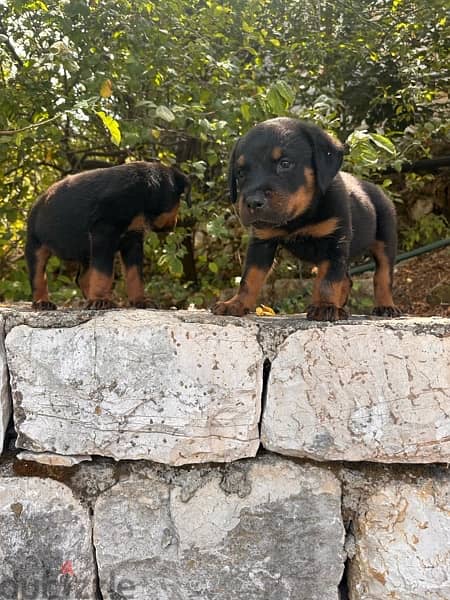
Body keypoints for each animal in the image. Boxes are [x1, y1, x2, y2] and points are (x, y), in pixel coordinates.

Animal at [25, 161, 190, 310]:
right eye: (180, 198)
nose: (176, 223)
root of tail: (38, 200)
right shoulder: (104, 233)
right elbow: (103, 272)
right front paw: (100, 301)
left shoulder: (133, 238)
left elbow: (134, 273)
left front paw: (141, 301)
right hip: (36, 241)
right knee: (38, 275)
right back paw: (42, 303)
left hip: (86, 251)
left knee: (82, 277)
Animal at [214, 118, 400, 324]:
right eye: (240, 172)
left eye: (285, 163)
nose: (253, 202)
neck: (298, 218)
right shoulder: (261, 242)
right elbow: (250, 277)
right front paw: (236, 303)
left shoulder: (333, 242)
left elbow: (327, 281)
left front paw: (324, 306)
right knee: (347, 279)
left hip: (386, 238)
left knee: (382, 275)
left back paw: (385, 306)